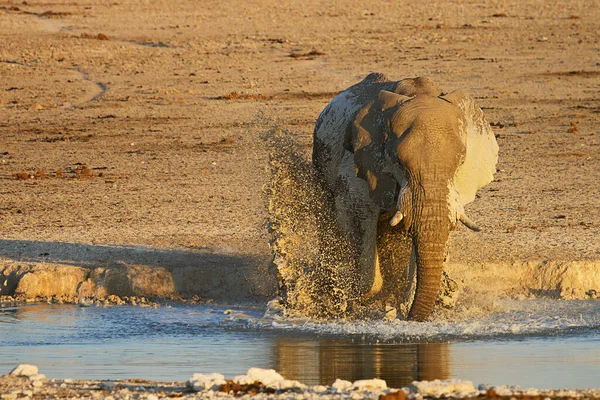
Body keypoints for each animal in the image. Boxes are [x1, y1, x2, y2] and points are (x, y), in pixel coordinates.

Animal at [312, 72, 500, 322]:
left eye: (461, 163)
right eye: (398, 162)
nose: (410, 317)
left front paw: (408, 303)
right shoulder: (357, 163)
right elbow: (357, 215)